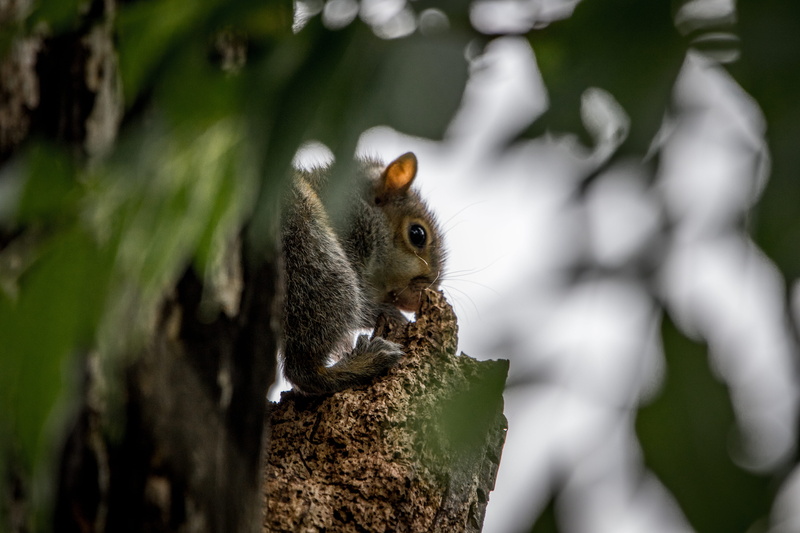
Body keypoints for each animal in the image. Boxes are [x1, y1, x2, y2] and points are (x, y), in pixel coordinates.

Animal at [280, 152, 445, 395]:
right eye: (417, 234)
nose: (417, 301)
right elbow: (365, 309)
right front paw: (392, 314)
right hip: (313, 257)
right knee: (302, 371)